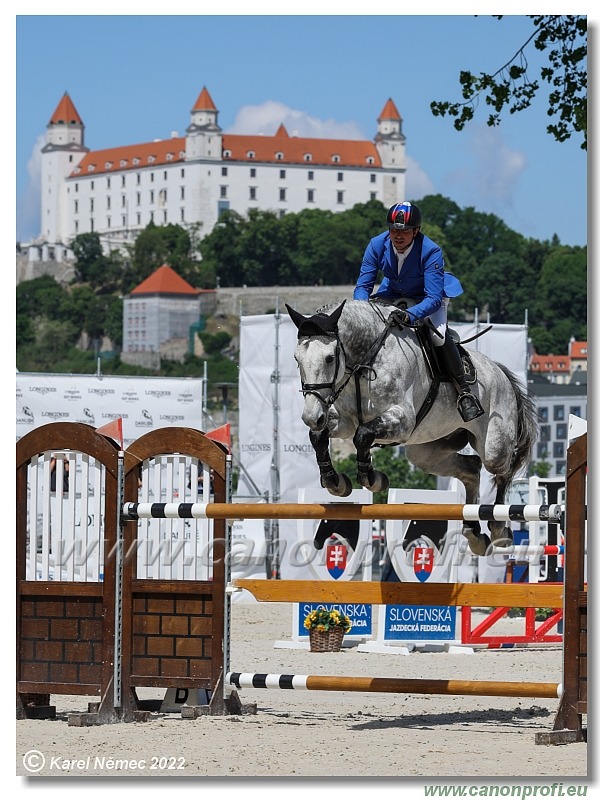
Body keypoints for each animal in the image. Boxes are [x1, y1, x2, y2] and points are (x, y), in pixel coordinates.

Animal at [288, 300, 536, 556]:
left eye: (329, 358)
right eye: (297, 359)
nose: (311, 416)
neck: (364, 360)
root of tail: (500, 371)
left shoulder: (403, 419)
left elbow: (363, 435)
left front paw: (372, 478)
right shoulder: (344, 421)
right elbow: (319, 436)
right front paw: (334, 482)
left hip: (493, 445)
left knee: (501, 471)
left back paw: (498, 530)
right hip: (425, 452)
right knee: (471, 469)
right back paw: (474, 533)